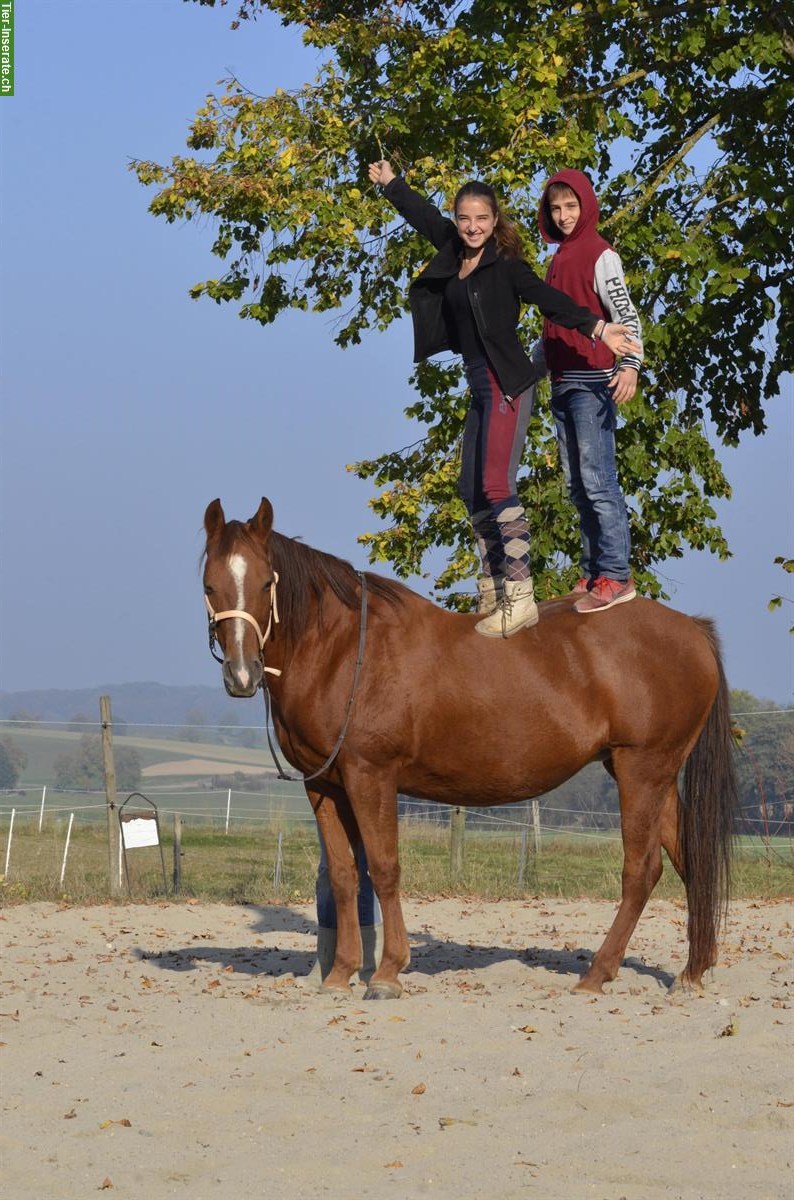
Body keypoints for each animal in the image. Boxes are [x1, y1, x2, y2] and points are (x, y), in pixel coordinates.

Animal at [202, 499, 738, 1003]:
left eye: (266, 583)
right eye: (210, 586)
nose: (242, 675)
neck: (344, 651)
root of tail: (692, 631)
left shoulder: (370, 776)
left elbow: (384, 868)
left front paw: (388, 973)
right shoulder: (325, 786)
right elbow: (343, 876)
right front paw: (339, 974)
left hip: (641, 768)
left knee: (641, 871)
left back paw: (597, 974)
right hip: (652, 773)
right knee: (688, 860)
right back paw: (691, 972)